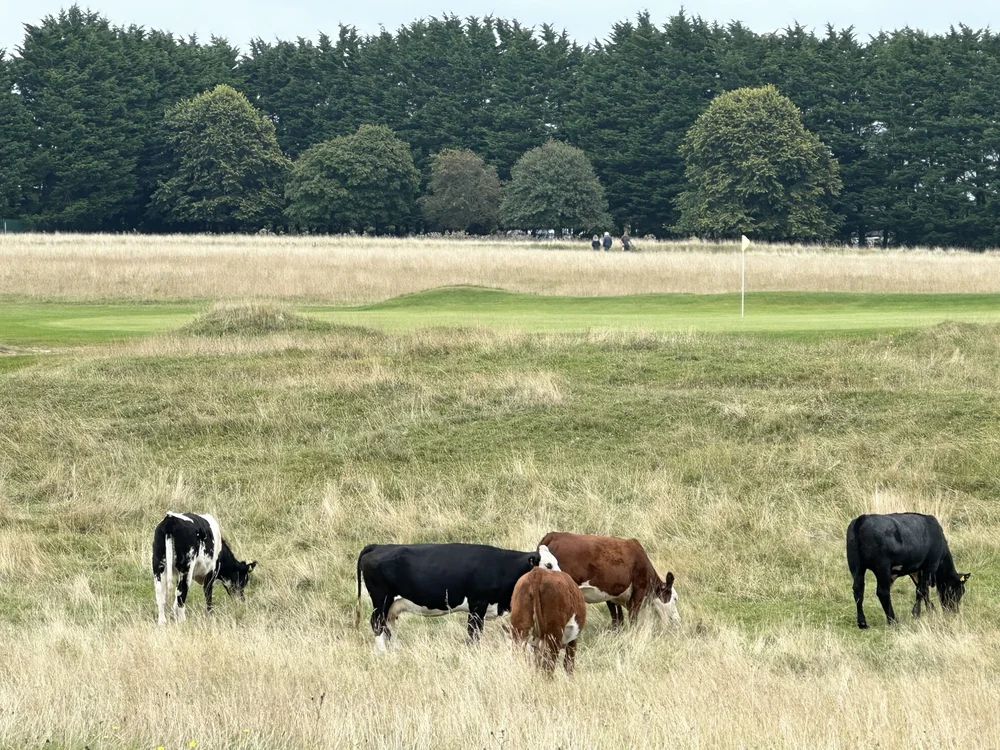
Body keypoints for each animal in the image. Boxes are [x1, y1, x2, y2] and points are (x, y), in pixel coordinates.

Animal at [355, 542, 559, 650]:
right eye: (548, 565)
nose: (563, 578)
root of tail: (378, 546)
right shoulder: (477, 605)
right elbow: (473, 633)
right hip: (381, 599)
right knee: (376, 622)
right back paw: (382, 651)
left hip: (391, 604)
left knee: (388, 623)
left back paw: (396, 648)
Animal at [538, 532, 679, 628]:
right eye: (675, 598)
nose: (677, 621)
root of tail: (553, 535)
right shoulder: (639, 589)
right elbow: (633, 617)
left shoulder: (611, 592)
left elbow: (617, 617)